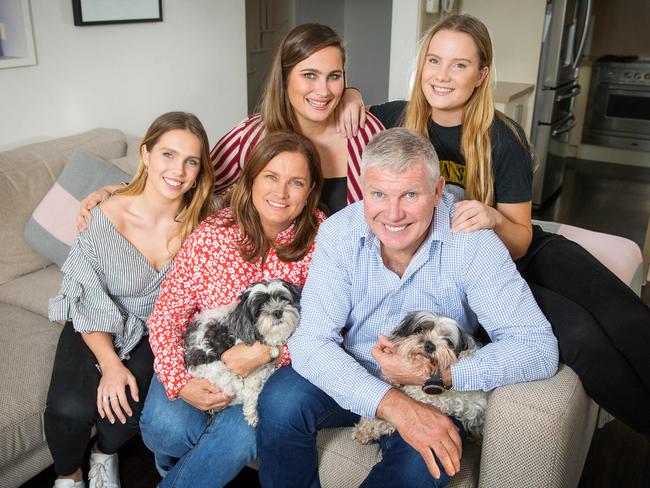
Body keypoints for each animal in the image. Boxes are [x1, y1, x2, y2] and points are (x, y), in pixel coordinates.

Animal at [350, 312, 486, 442]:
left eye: (448, 341)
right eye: (421, 329)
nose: (430, 345)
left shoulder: (435, 403)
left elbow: (398, 415)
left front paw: (365, 430)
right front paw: (365, 423)